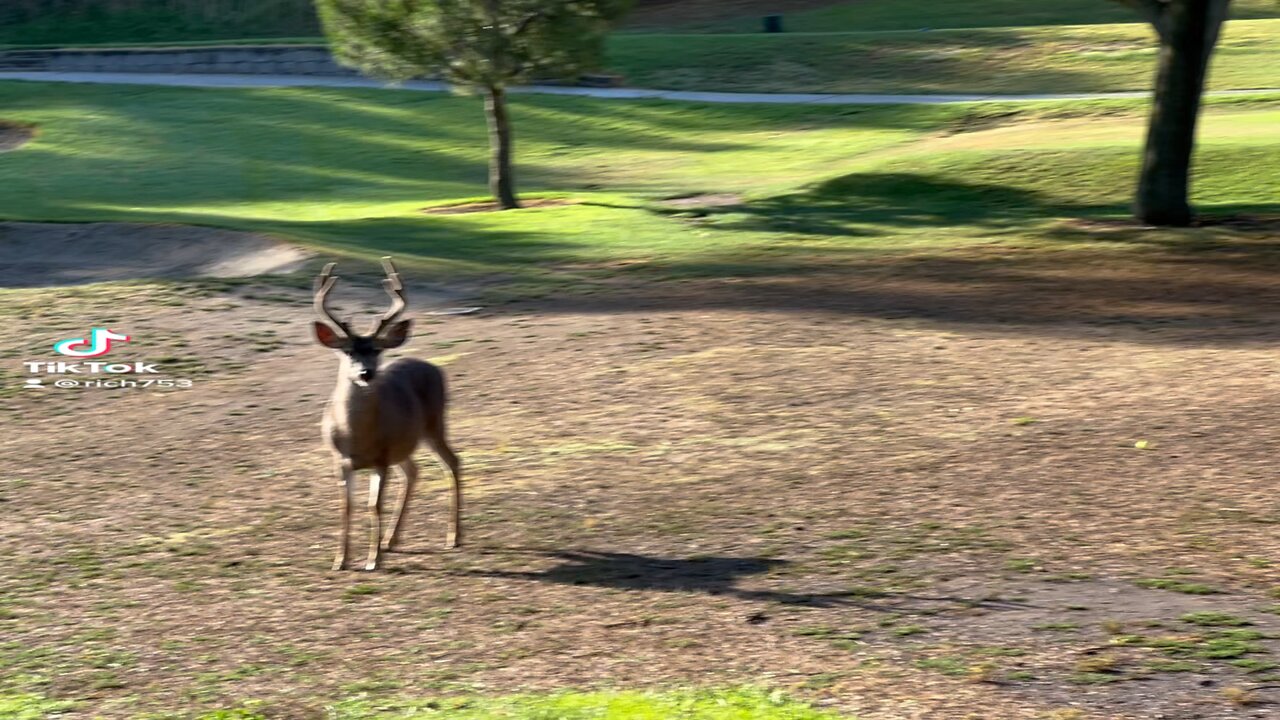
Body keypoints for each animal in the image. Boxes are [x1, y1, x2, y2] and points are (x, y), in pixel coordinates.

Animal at [312, 257, 463, 571]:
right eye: (347, 352)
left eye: (377, 350)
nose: (366, 373)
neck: (355, 437)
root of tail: (431, 365)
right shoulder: (338, 460)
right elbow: (346, 507)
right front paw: (340, 560)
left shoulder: (381, 459)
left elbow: (373, 506)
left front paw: (372, 561)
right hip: (405, 444)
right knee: (414, 471)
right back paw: (390, 540)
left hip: (434, 423)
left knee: (452, 462)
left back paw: (453, 537)